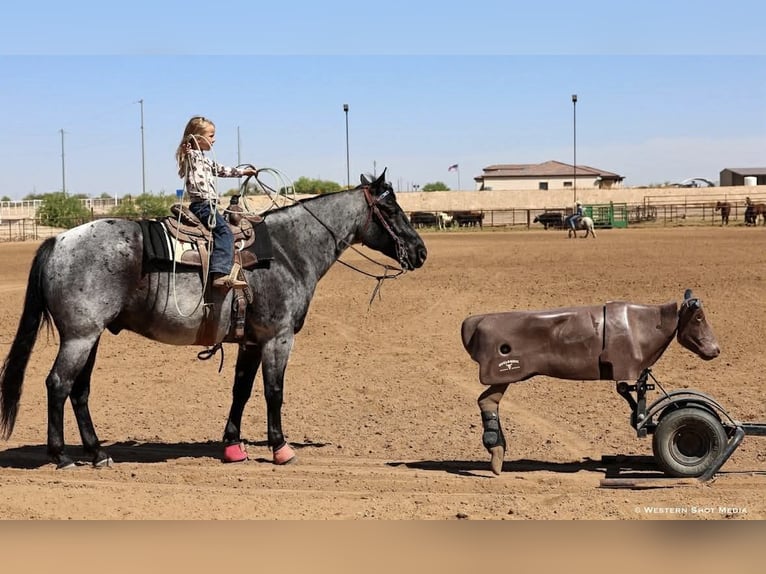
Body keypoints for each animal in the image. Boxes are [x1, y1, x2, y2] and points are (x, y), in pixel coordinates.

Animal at [0, 170, 427, 469]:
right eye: (391, 210)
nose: (420, 252)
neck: (289, 250)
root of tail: (59, 240)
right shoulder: (278, 338)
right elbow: (274, 391)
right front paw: (281, 447)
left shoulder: (252, 340)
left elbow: (241, 391)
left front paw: (233, 446)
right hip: (80, 336)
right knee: (58, 384)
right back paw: (62, 456)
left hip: (91, 336)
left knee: (79, 390)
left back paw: (98, 452)